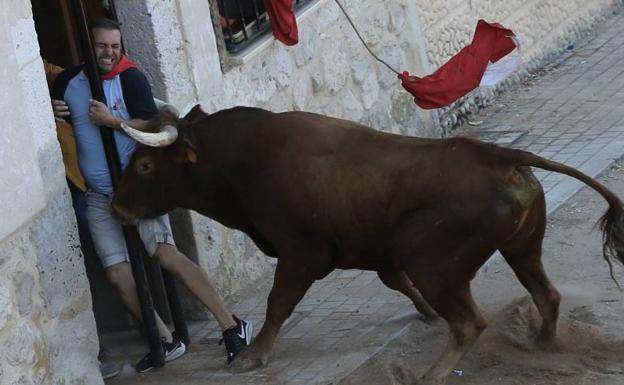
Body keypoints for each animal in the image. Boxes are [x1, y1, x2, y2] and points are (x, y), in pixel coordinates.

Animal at [112, 105, 624, 384]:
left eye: (144, 166)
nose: (117, 207)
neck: (244, 159)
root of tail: (500, 154)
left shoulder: (302, 254)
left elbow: (278, 303)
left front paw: (253, 356)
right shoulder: (376, 250)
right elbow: (395, 282)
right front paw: (425, 314)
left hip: (437, 265)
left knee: (470, 322)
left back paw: (432, 375)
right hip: (522, 247)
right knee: (546, 294)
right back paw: (542, 344)